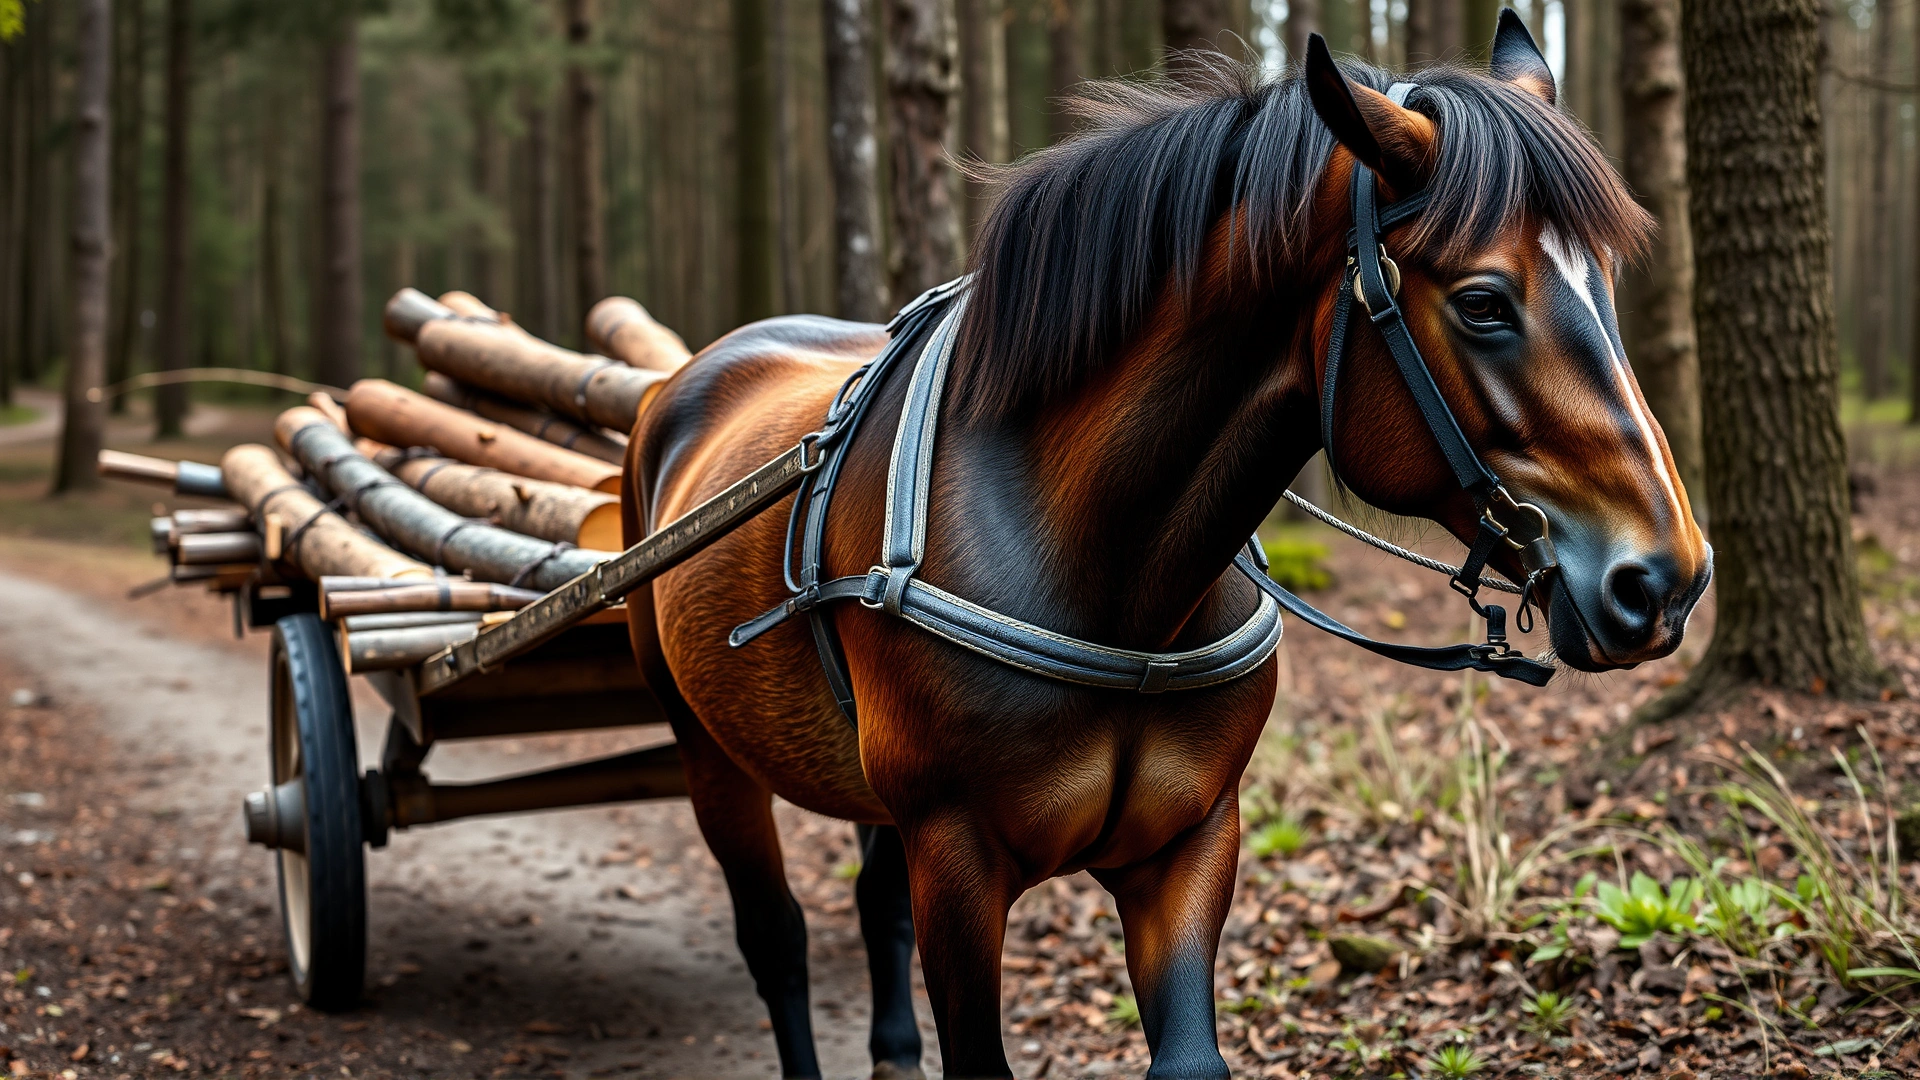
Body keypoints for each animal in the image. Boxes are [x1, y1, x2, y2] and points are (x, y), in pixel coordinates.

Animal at [621, 15, 1711, 1079]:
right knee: (776, 943)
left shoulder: (1188, 842)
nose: (1666, 579)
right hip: (708, 754)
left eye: (1607, 283)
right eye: (1484, 301)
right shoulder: (956, 862)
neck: (1103, 570)